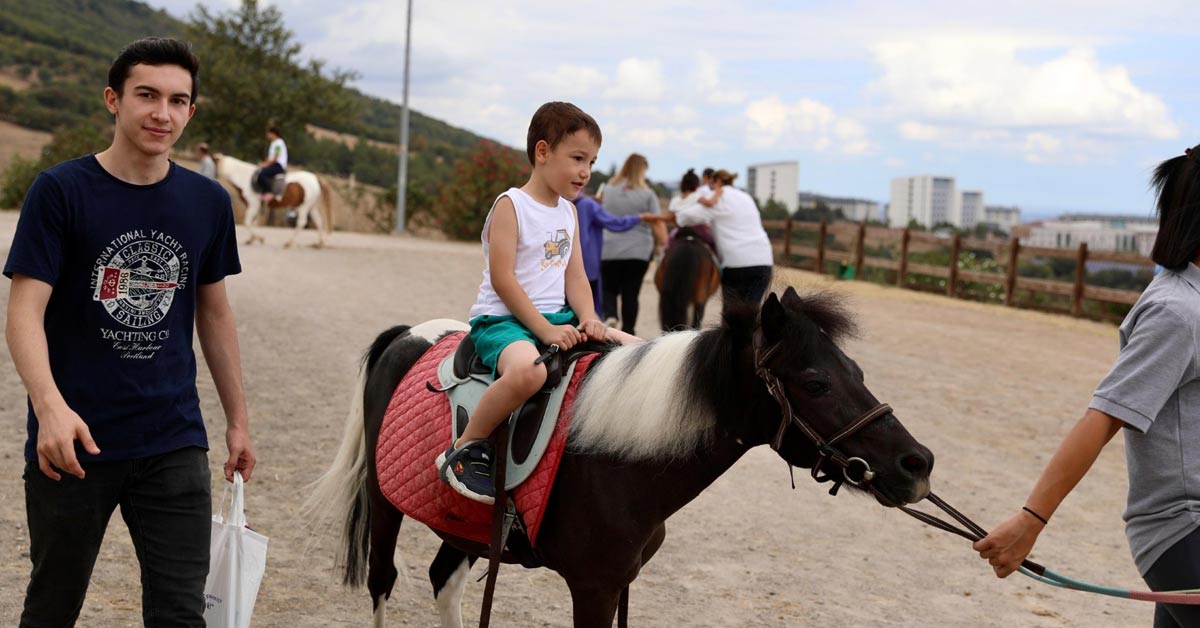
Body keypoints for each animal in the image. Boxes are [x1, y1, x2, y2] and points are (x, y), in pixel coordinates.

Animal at [309, 286, 936, 624]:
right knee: (383, 581)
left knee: (444, 581)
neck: (618, 461)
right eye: (815, 383)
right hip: (385, 504)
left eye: (855, 372)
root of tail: (409, 334)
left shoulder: (619, 584)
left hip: (462, 526)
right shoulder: (594, 588)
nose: (917, 464)